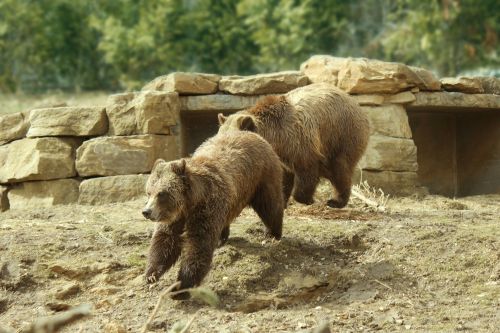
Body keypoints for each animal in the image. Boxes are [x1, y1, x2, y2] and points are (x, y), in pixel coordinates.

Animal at [143, 130, 284, 298]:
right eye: (149, 192)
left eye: (161, 194)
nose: (146, 211)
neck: (189, 203)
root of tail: (254, 134)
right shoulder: (176, 217)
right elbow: (165, 240)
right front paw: (151, 274)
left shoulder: (206, 208)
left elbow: (198, 245)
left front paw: (180, 287)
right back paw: (221, 239)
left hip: (262, 176)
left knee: (270, 205)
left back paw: (273, 233)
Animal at [219, 82, 372, 208]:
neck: (275, 138)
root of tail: (355, 103)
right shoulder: (281, 155)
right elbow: (282, 177)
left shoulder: (299, 141)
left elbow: (307, 168)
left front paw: (307, 199)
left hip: (342, 134)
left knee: (340, 167)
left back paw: (336, 201)